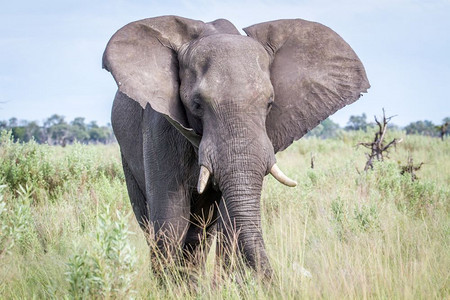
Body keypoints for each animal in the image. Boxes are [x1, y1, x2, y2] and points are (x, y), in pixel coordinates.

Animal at [103, 15, 370, 278]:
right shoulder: (160, 125)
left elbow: (228, 221)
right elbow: (170, 220)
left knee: (200, 234)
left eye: (270, 103)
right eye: (196, 104)